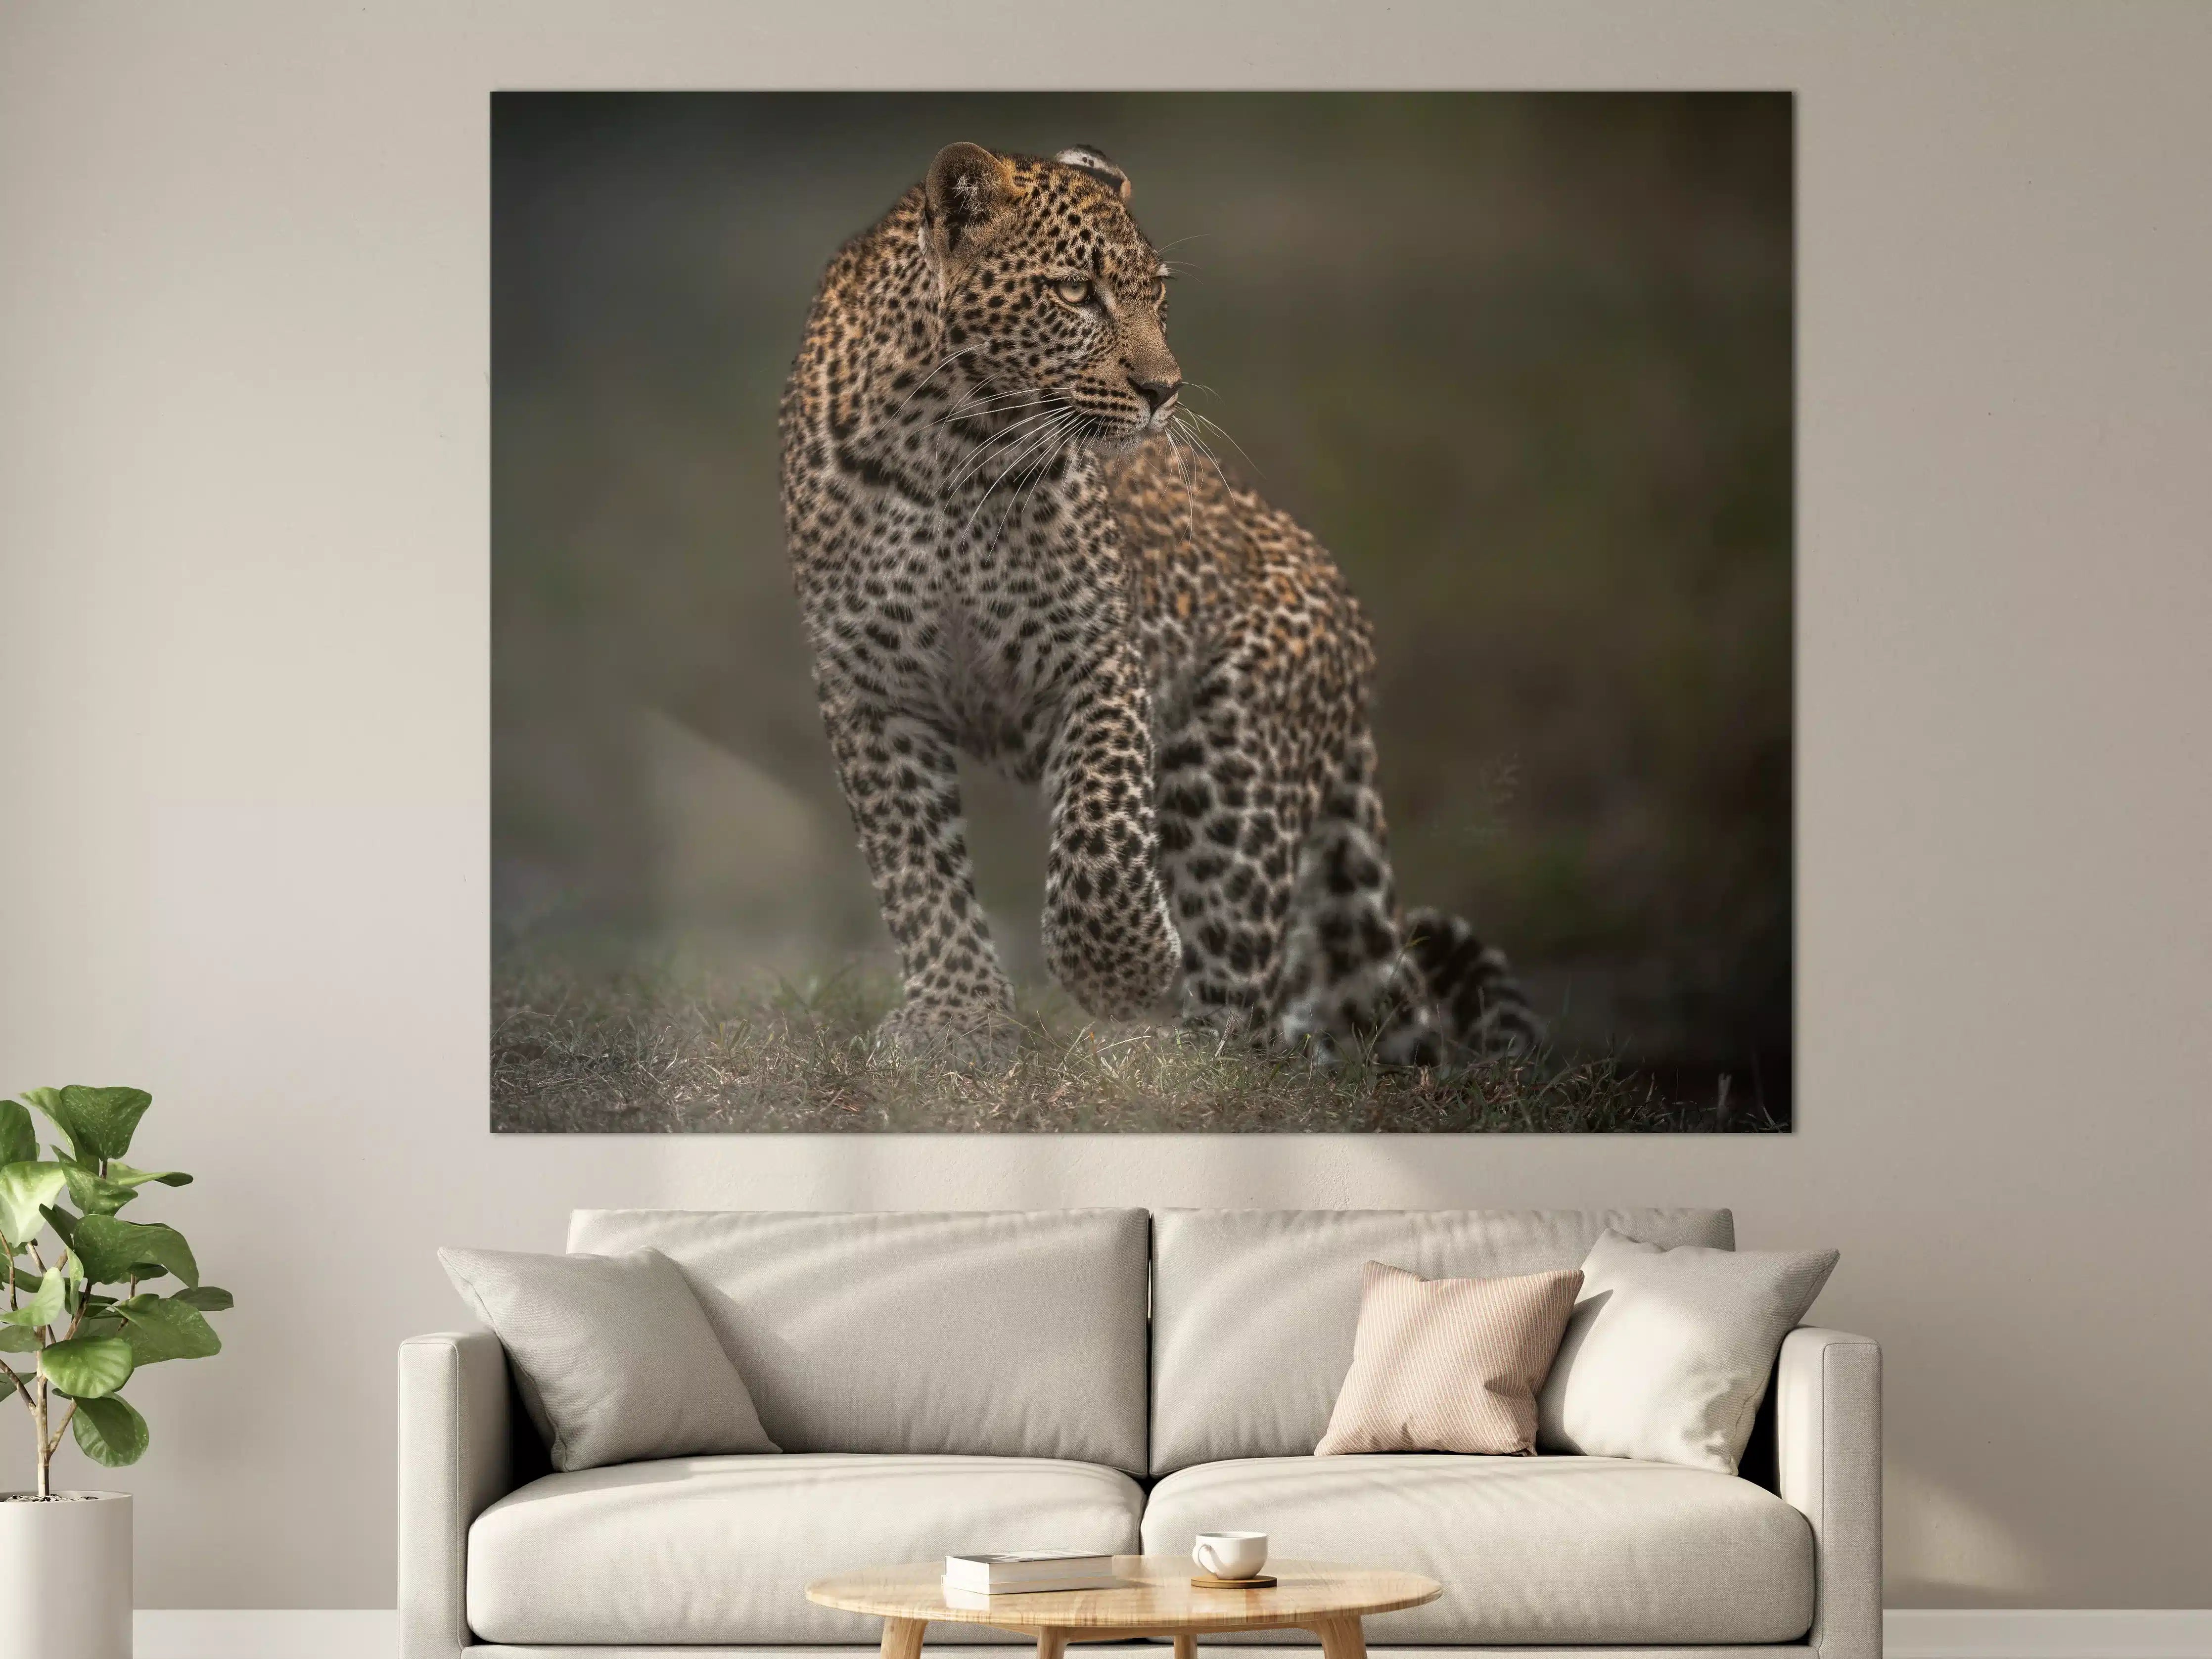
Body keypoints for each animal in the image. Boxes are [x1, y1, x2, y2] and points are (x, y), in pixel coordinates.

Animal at [778, 140, 1538, 1067]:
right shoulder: (869, 689)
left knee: (1245, 997)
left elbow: (1103, 827)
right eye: (1077, 292)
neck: (949, 449)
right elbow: (915, 868)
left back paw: (1174, 1061)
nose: (1164, 390)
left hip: (1233, 762)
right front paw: (958, 1019)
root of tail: (1351, 621)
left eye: (1157, 296)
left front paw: (1121, 968)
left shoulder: (1096, 653)